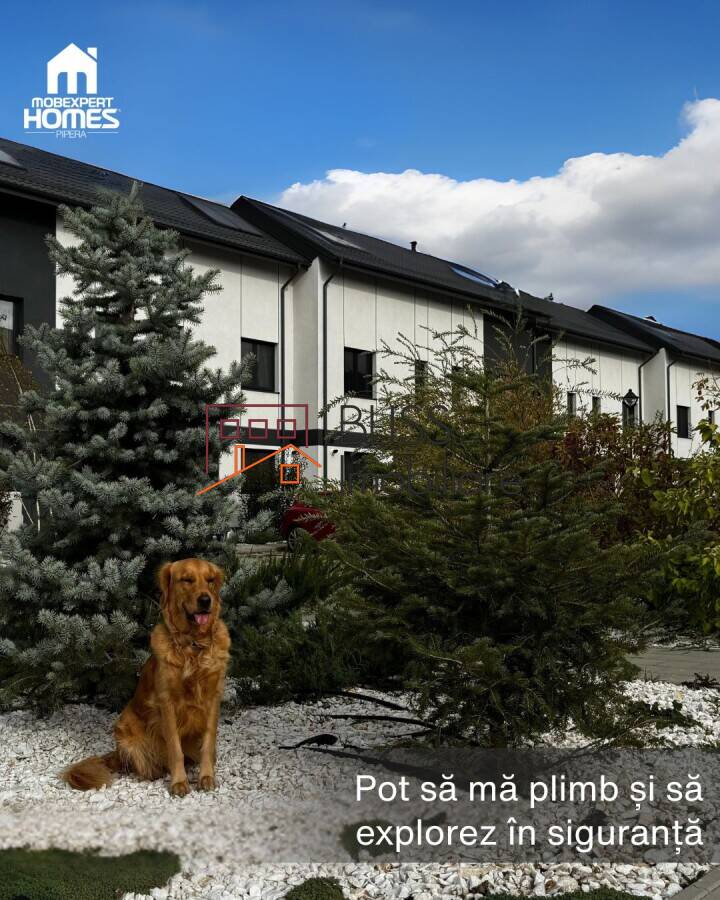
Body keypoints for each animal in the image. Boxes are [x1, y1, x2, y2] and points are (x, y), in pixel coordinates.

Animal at [62, 558, 230, 797]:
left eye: (210, 580)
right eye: (187, 580)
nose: (206, 600)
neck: (193, 645)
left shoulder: (213, 697)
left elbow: (208, 742)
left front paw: (206, 777)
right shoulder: (167, 702)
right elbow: (175, 749)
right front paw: (179, 782)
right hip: (124, 726)